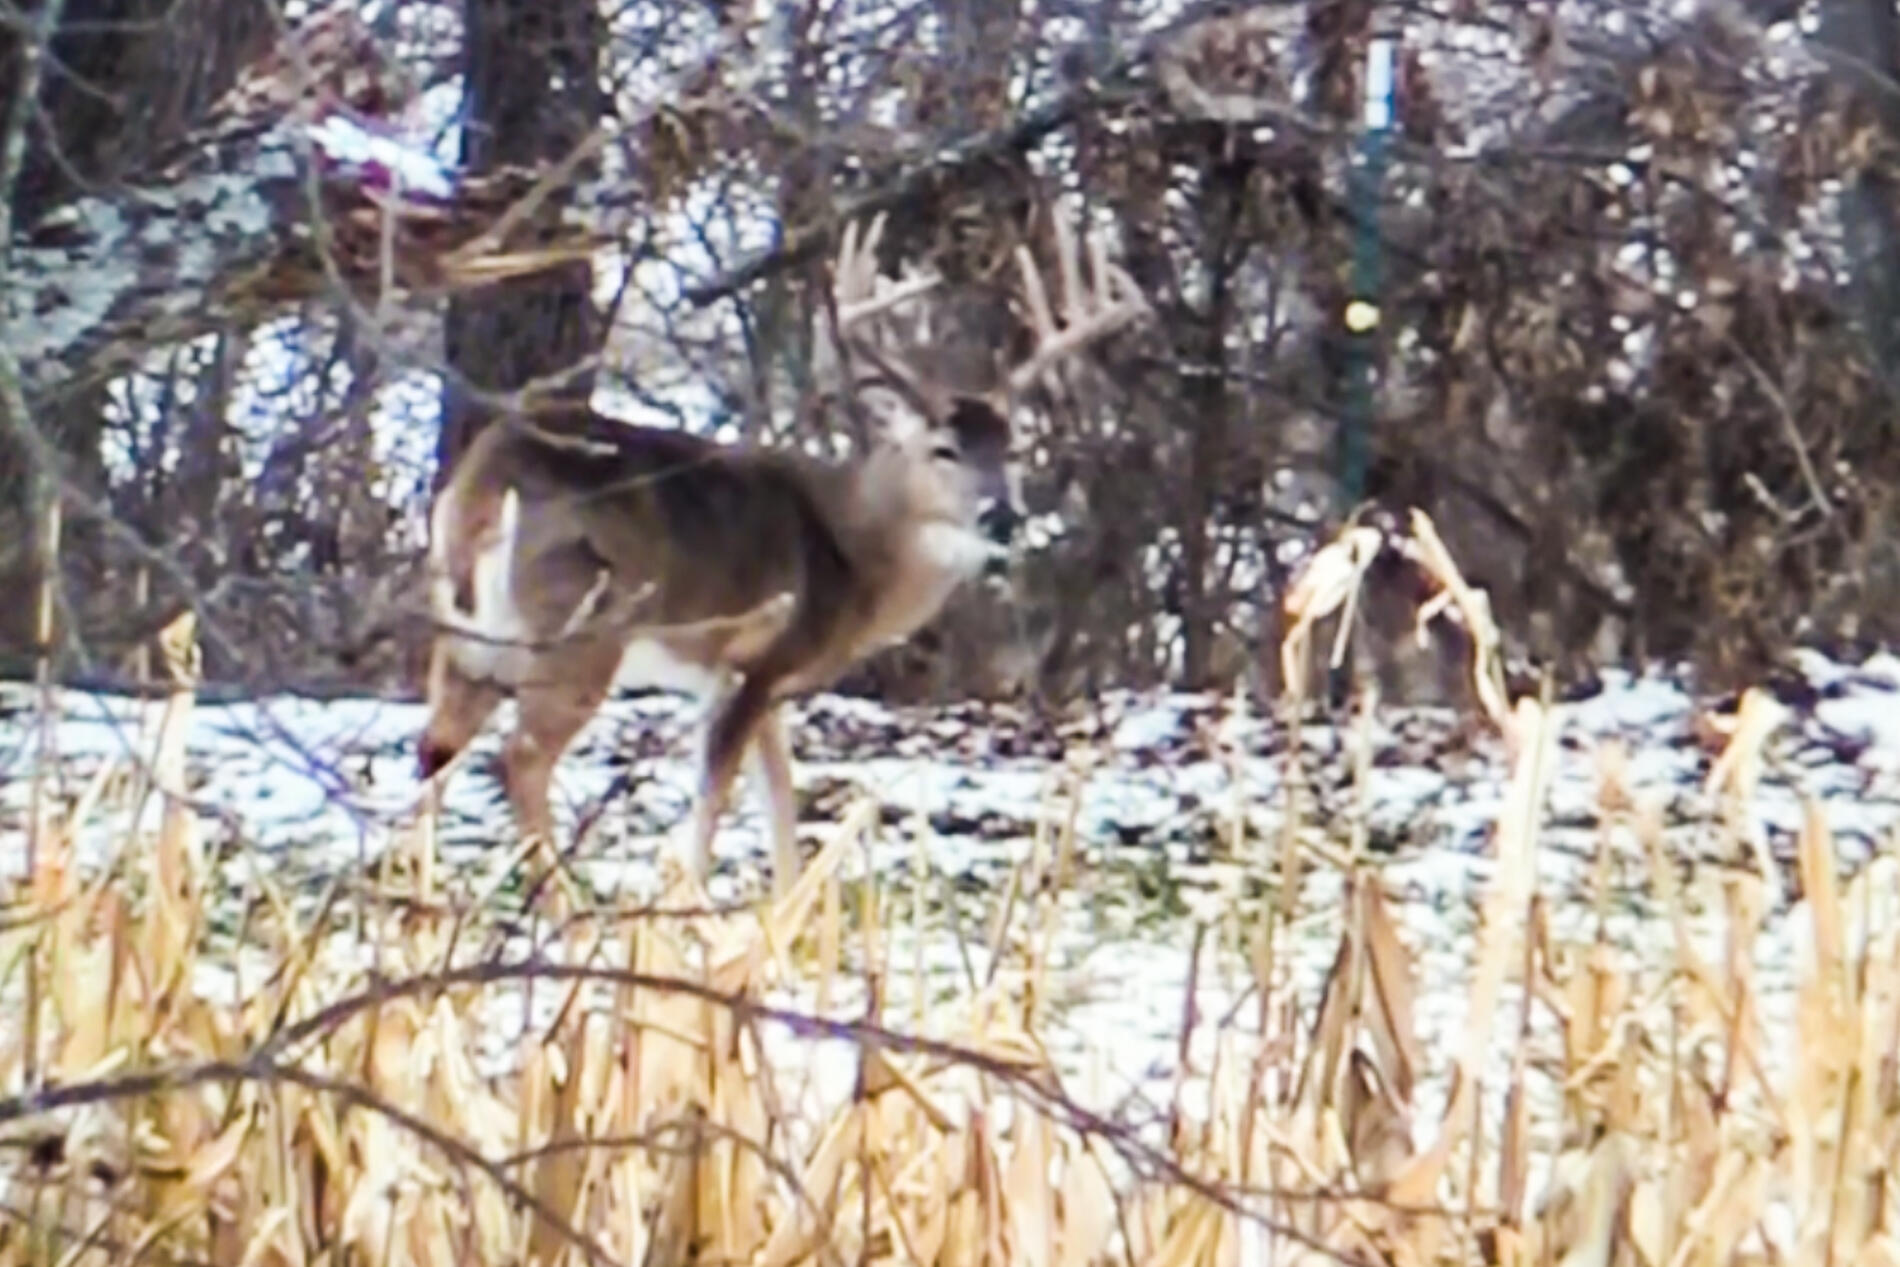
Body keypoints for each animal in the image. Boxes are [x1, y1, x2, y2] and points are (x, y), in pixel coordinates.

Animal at [418, 210, 1147, 892]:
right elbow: (713, 808)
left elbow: (782, 809)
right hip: (580, 632)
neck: (858, 556)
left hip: (467, 638)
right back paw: (566, 911)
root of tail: (487, 480)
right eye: (943, 450)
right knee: (518, 759)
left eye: (1012, 451)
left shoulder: (762, 687)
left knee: (435, 750)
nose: (1002, 516)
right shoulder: (757, 661)